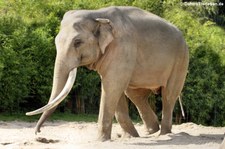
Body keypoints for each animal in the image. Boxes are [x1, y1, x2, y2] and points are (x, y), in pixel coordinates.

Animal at [25, 5, 188, 141]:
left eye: (77, 42)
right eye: (56, 41)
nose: (38, 133)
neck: (97, 14)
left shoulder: (122, 48)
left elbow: (111, 86)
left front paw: (101, 140)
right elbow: (114, 88)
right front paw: (129, 137)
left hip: (181, 60)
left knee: (168, 95)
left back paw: (163, 134)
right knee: (135, 94)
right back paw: (150, 132)